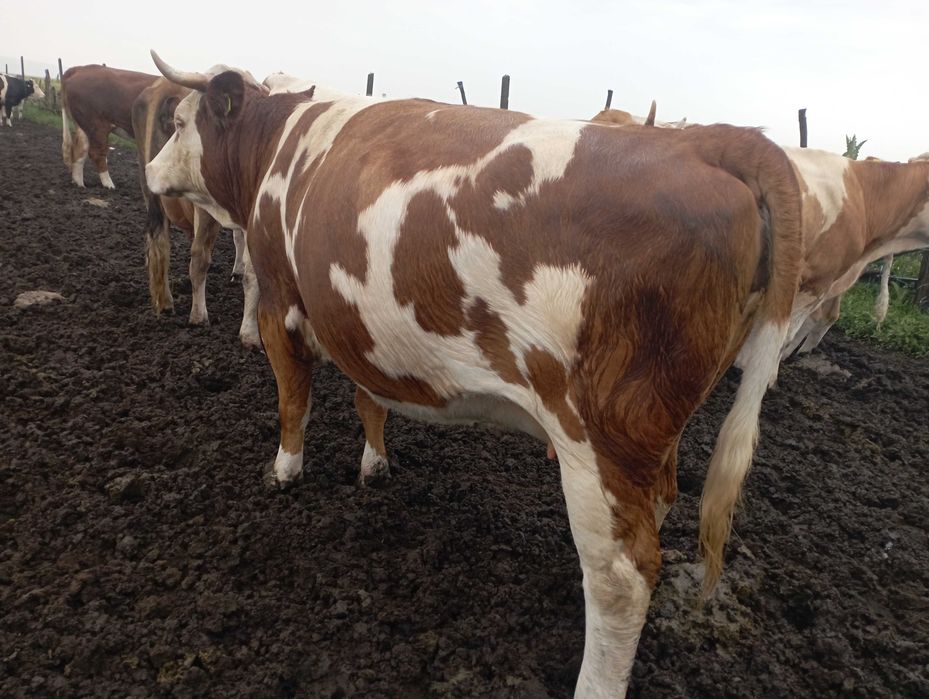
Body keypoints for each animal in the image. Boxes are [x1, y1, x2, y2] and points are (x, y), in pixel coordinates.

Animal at [145, 53, 802, 697]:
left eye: (178, 122)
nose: (148, 172)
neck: (282, 140)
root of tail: (706, 140)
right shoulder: (355, 318)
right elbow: (368, 399)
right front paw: (374, 464)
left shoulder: (281, 301)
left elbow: (291, 400)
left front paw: (284, 471)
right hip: (653, 434)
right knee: (656, 511)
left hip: (599, 435)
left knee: (621, 578)